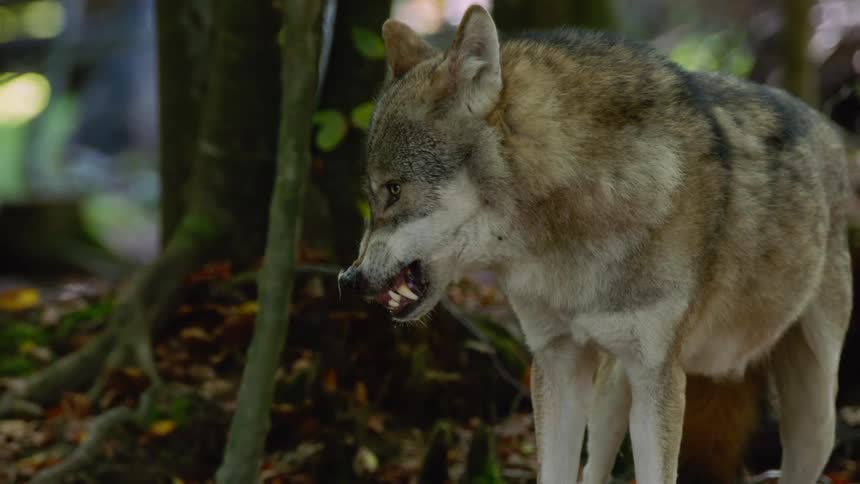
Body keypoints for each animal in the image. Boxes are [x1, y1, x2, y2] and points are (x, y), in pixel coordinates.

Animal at [337, 5, 852, 483]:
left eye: (394, 190)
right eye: (371, 194)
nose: (349, 278)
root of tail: (829, 129)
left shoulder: (658, 377)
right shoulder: (557, 363)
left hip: (815, 420)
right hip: (611, 393)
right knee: (594, 469)